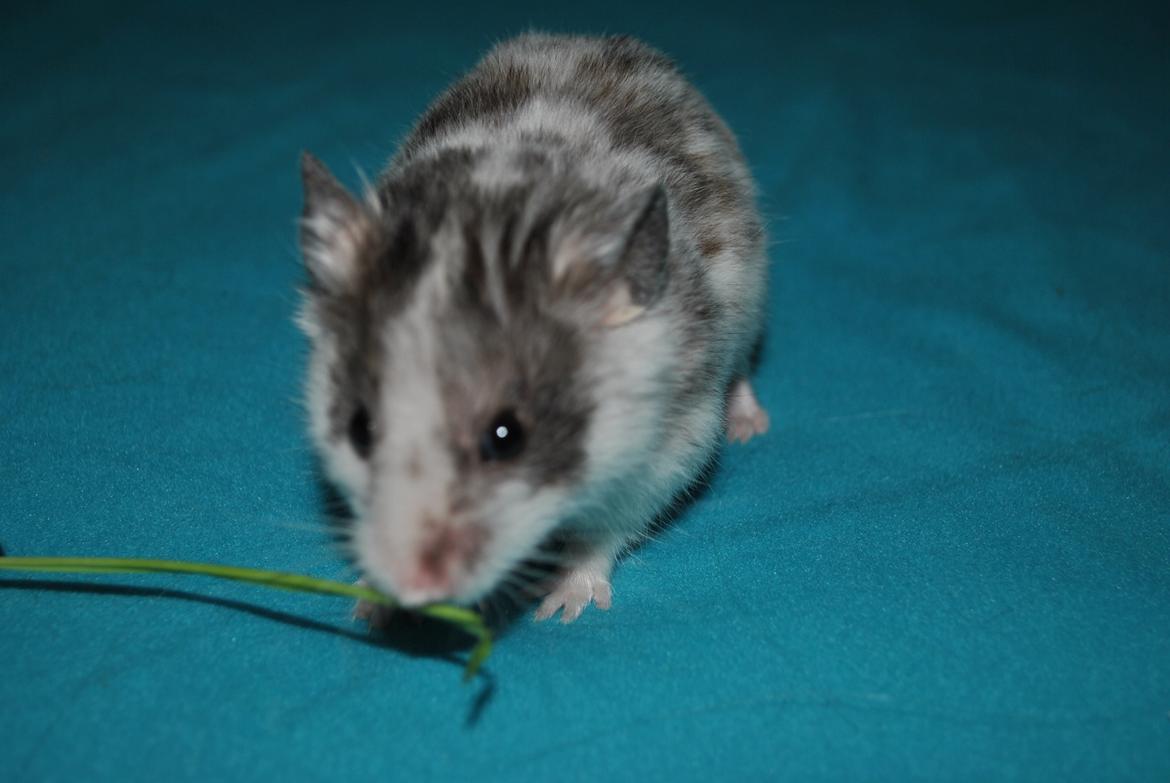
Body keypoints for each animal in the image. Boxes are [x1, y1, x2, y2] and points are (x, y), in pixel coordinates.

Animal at [298, 34, 769, 623]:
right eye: (360, 428)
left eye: (506, 436)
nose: (415, 590)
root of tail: (594, 40)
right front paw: (370, 604)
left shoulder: (669, 449)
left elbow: (601, 535)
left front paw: (561, 605)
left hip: (753, 299)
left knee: (744, 367)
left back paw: (750, 425)